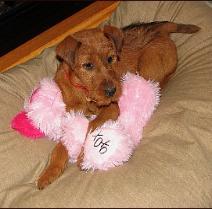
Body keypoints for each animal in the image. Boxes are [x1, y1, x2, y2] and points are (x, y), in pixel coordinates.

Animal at [36, 21, 200, 189]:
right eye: (88, 65)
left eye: (111, 58)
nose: (112, 91)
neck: (85, 92)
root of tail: (159, 29)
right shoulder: (72, 115)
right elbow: (61, 145)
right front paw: (50, 171)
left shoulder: (111, 108)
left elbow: (92, 125)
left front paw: (84, 155)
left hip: (149, 64)